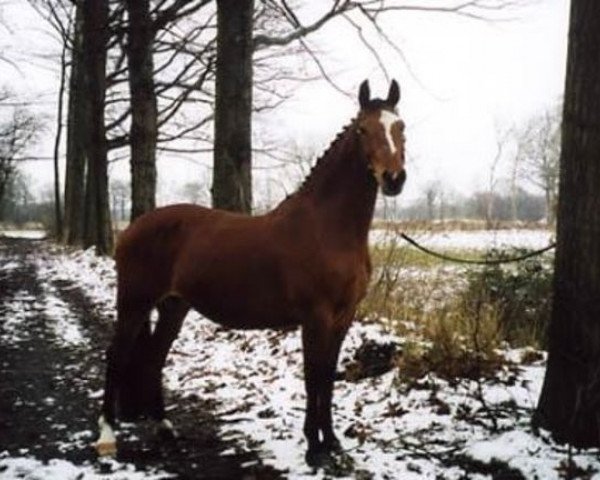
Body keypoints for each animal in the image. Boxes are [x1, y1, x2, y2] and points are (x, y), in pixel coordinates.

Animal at [96, 79, 408, 464]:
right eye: (363, 129)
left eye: (400, 127)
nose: (394, 179)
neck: (328, 229)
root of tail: (132, 228)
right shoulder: (315, 318)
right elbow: (313, 377)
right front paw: (314, 448)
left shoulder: (343, 317)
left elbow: (328, 378)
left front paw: (332, 441)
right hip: (134, 302)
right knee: (116, 356)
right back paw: (107, 438)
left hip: (173, 306)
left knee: (154, 358)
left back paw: (165, 429)